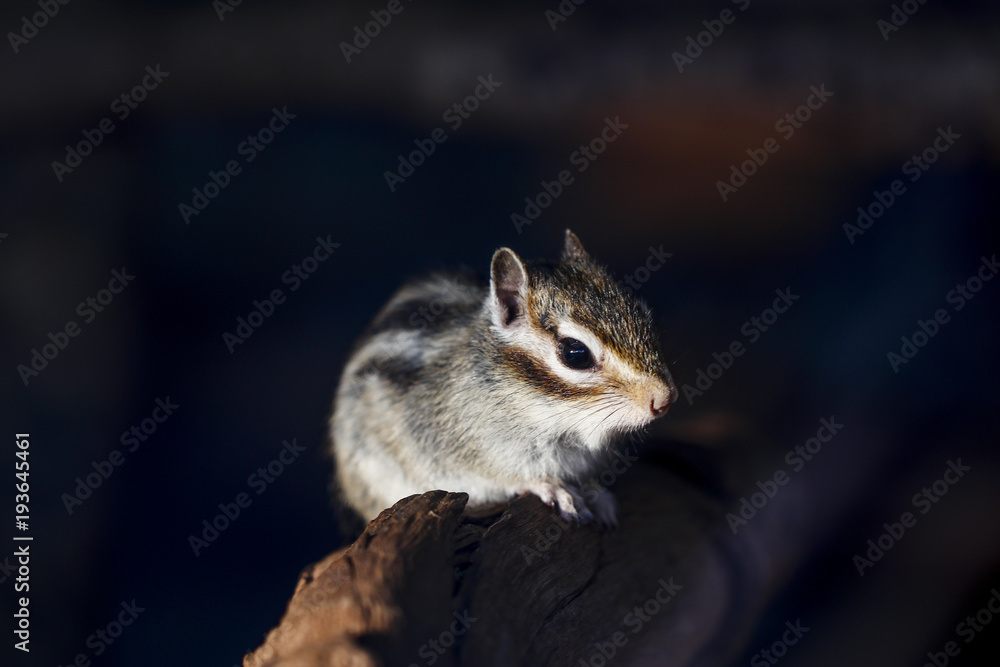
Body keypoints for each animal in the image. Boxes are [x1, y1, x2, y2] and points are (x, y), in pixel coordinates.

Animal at [329, 230, 676, 529]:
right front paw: (552, 488)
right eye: (575, 353)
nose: (664, 399)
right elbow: (511, 476)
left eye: (643, 316)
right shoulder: (467, 448)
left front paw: (598, 495)